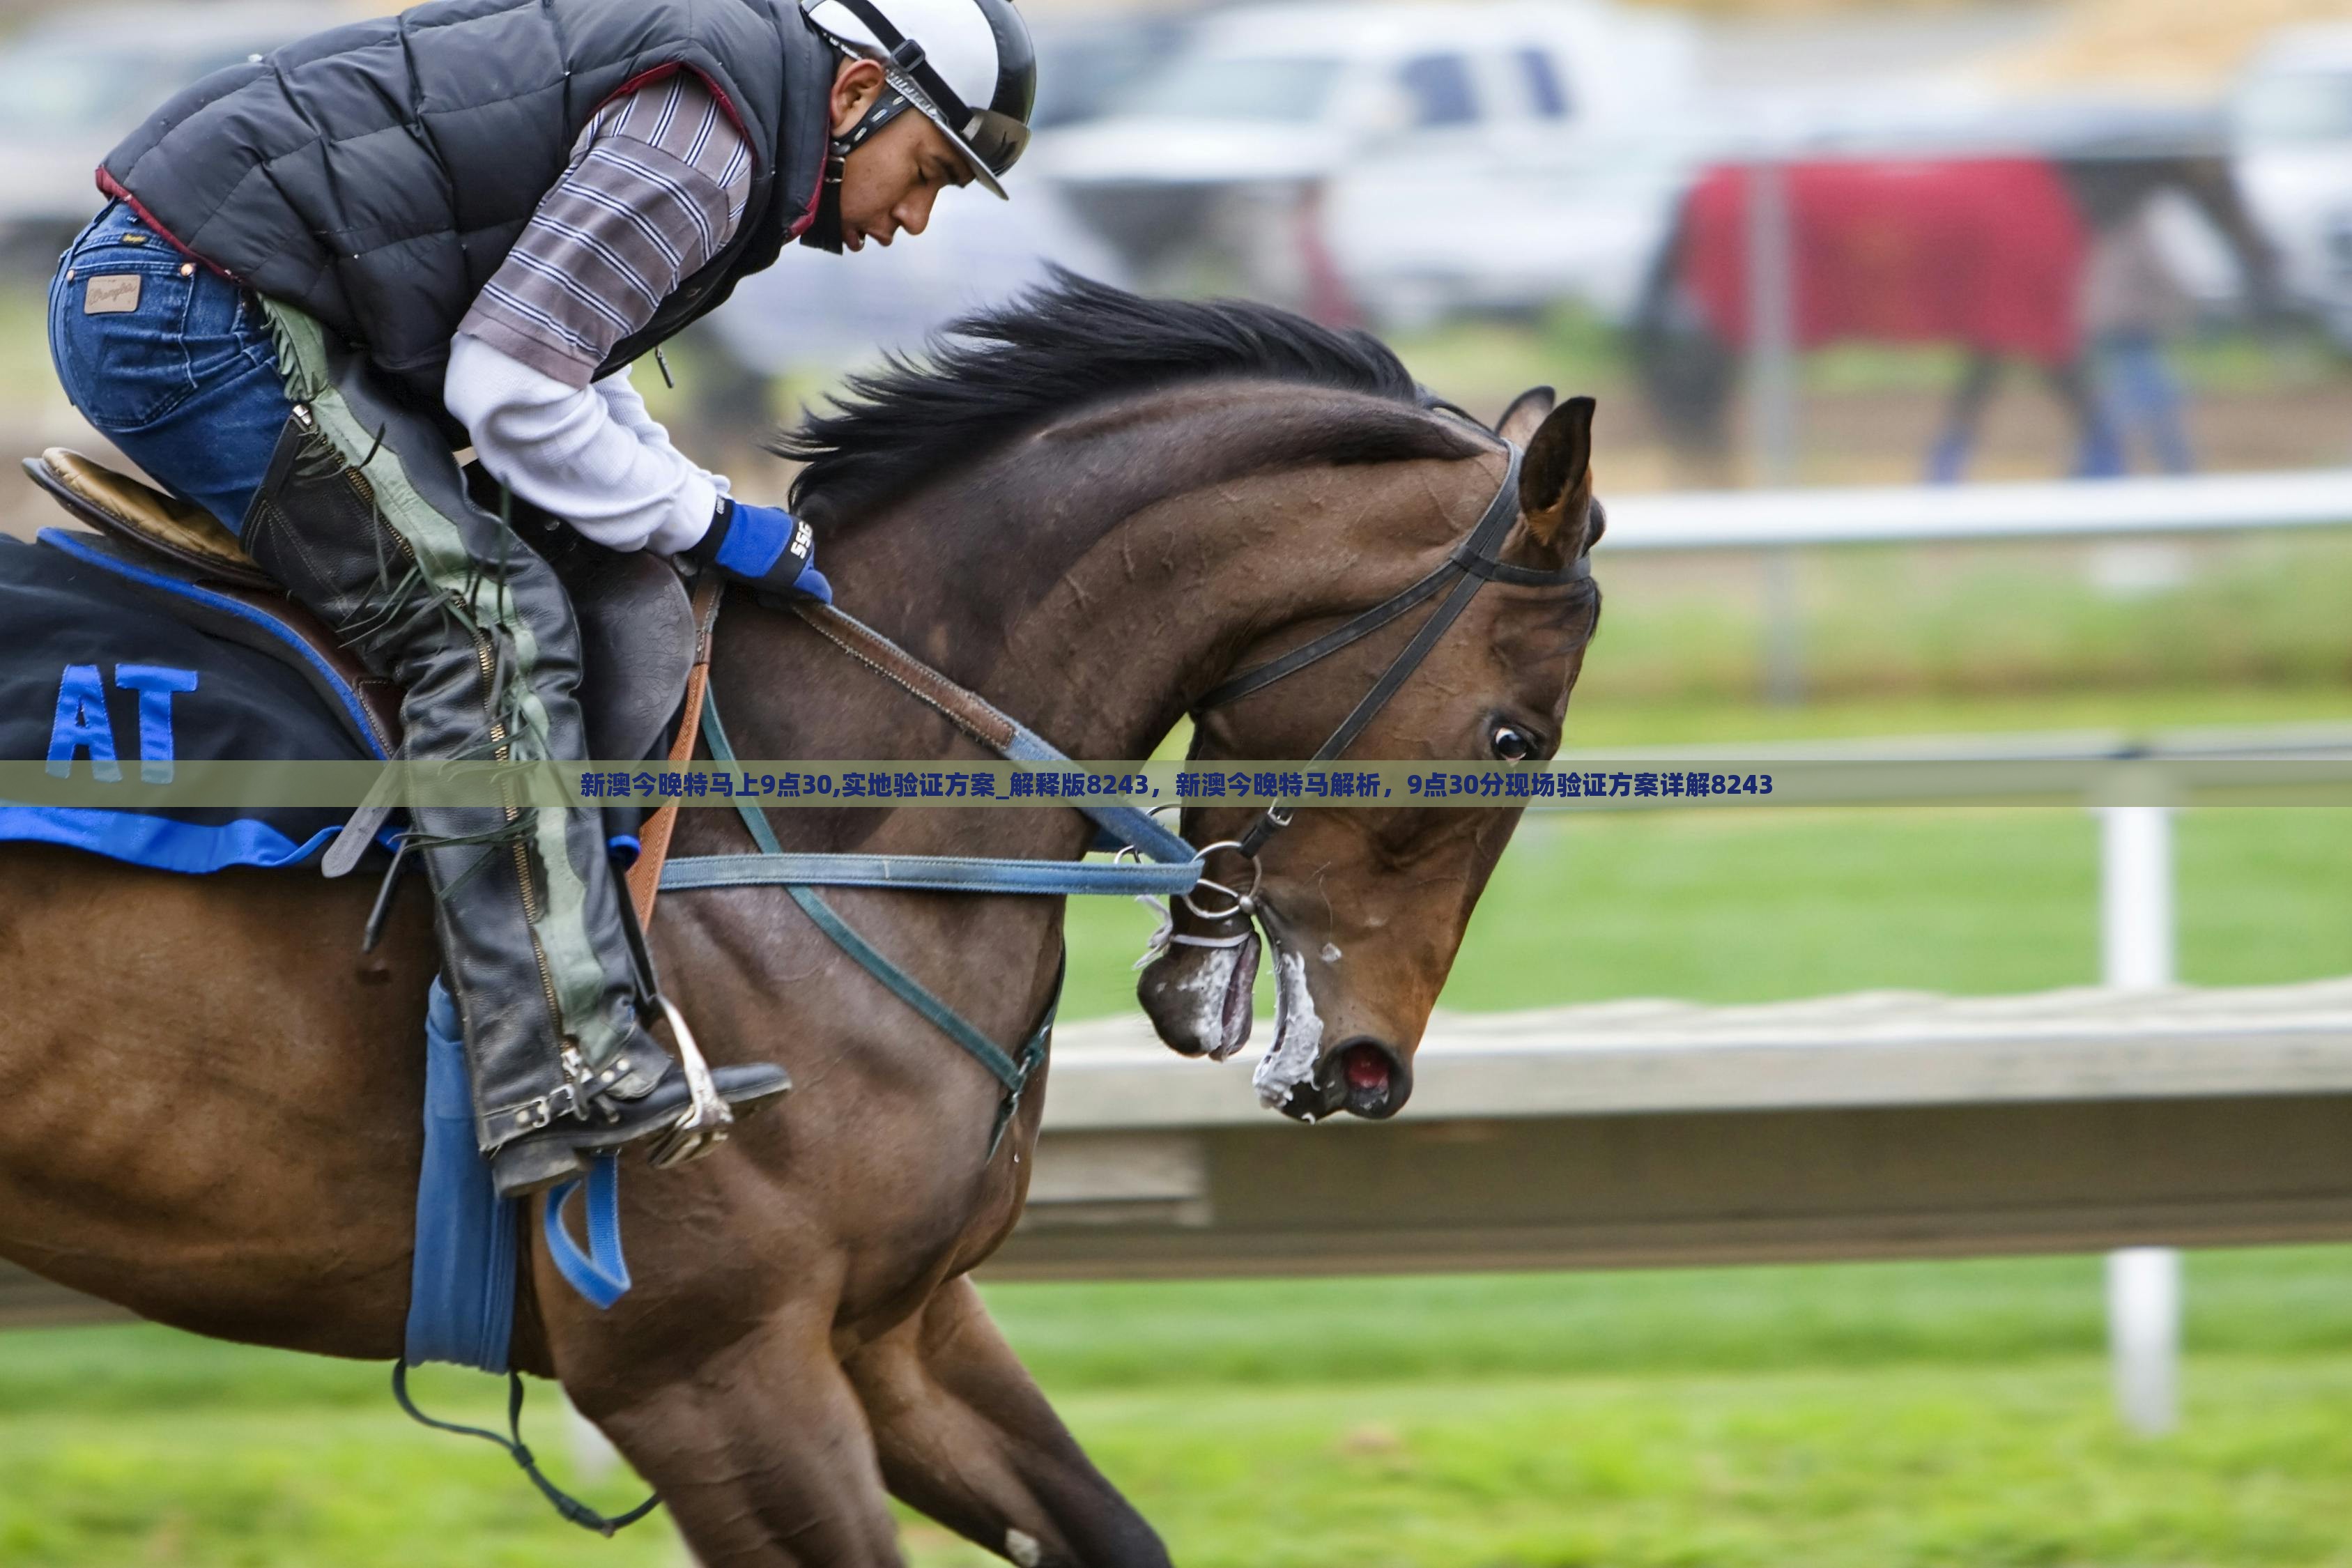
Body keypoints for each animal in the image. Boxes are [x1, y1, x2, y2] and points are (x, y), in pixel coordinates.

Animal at [0, 282, 1599, 1568]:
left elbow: (1111, 1531)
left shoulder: (893, 1329)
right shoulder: (704, 1369)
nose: (1368, 1070)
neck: (818, 808)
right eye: (1514, 740)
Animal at [1637, 155, 2277, 484]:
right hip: (1735, 324)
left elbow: (1970, 405)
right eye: (2223, 175)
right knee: (1692, 388)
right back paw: (1706, 472)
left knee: (1691, 389)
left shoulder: (1996, 331)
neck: (2064, 196)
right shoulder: (2033, 327)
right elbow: (2086, 408)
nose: (2263, 252)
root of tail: (1697, 189)